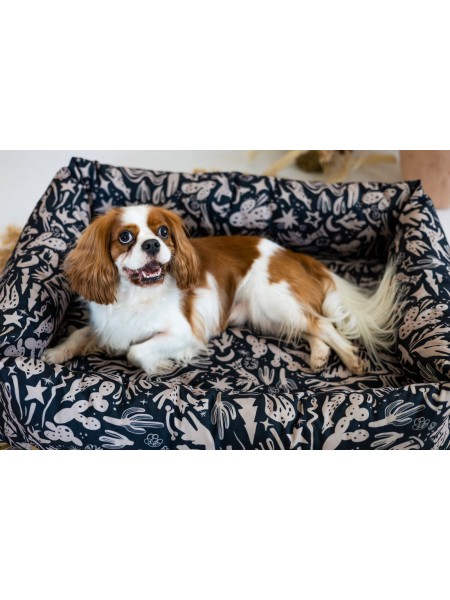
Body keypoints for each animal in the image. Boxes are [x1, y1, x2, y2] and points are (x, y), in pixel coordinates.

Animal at [42, 205, 398, 375]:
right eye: (125, 237)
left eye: (163, 232)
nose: (152, 243)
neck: (138, 293)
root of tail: (292, 253)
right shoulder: (108, 326)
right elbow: (80, 334)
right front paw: (55, 353)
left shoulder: (185, 333)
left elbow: (136, 351)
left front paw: (161, 365)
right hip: (267, 315)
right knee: (313, 327)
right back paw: (320, 355)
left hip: (271, 301)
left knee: (322, 323)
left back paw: (350, 359)